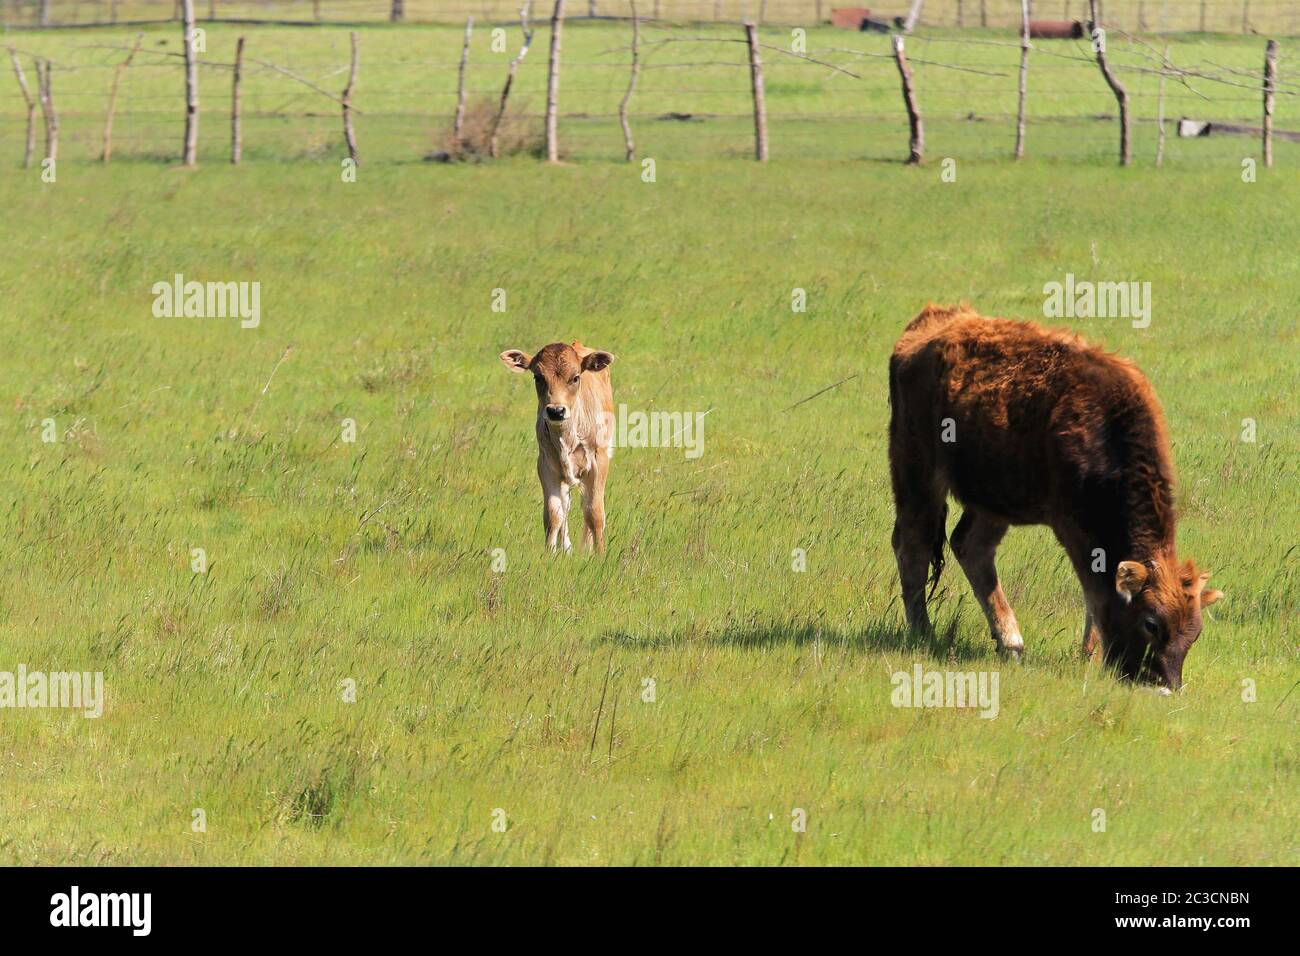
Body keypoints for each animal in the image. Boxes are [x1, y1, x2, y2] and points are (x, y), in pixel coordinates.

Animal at [500, 341, 615, 554]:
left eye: (576, 377)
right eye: (538, 377)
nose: (556, 410)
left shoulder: (598, 462)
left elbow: (594, 513)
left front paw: (599, 554)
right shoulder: (546, 465)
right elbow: (554, 514)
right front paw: (550, 553)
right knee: (566, 505)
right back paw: (567, 547)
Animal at [888, 305, 1222, 692]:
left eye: (1195, 632)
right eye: (1151, 623)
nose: (1166, 685)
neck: (1108, 428)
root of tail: (930, 323)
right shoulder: (1073, 528)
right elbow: (1094, 592)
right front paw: (1091, 656)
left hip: (994, 500)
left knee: (970, 546)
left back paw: (1011, 643)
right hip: (916, 473)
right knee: (913, 545)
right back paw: (923, 631)